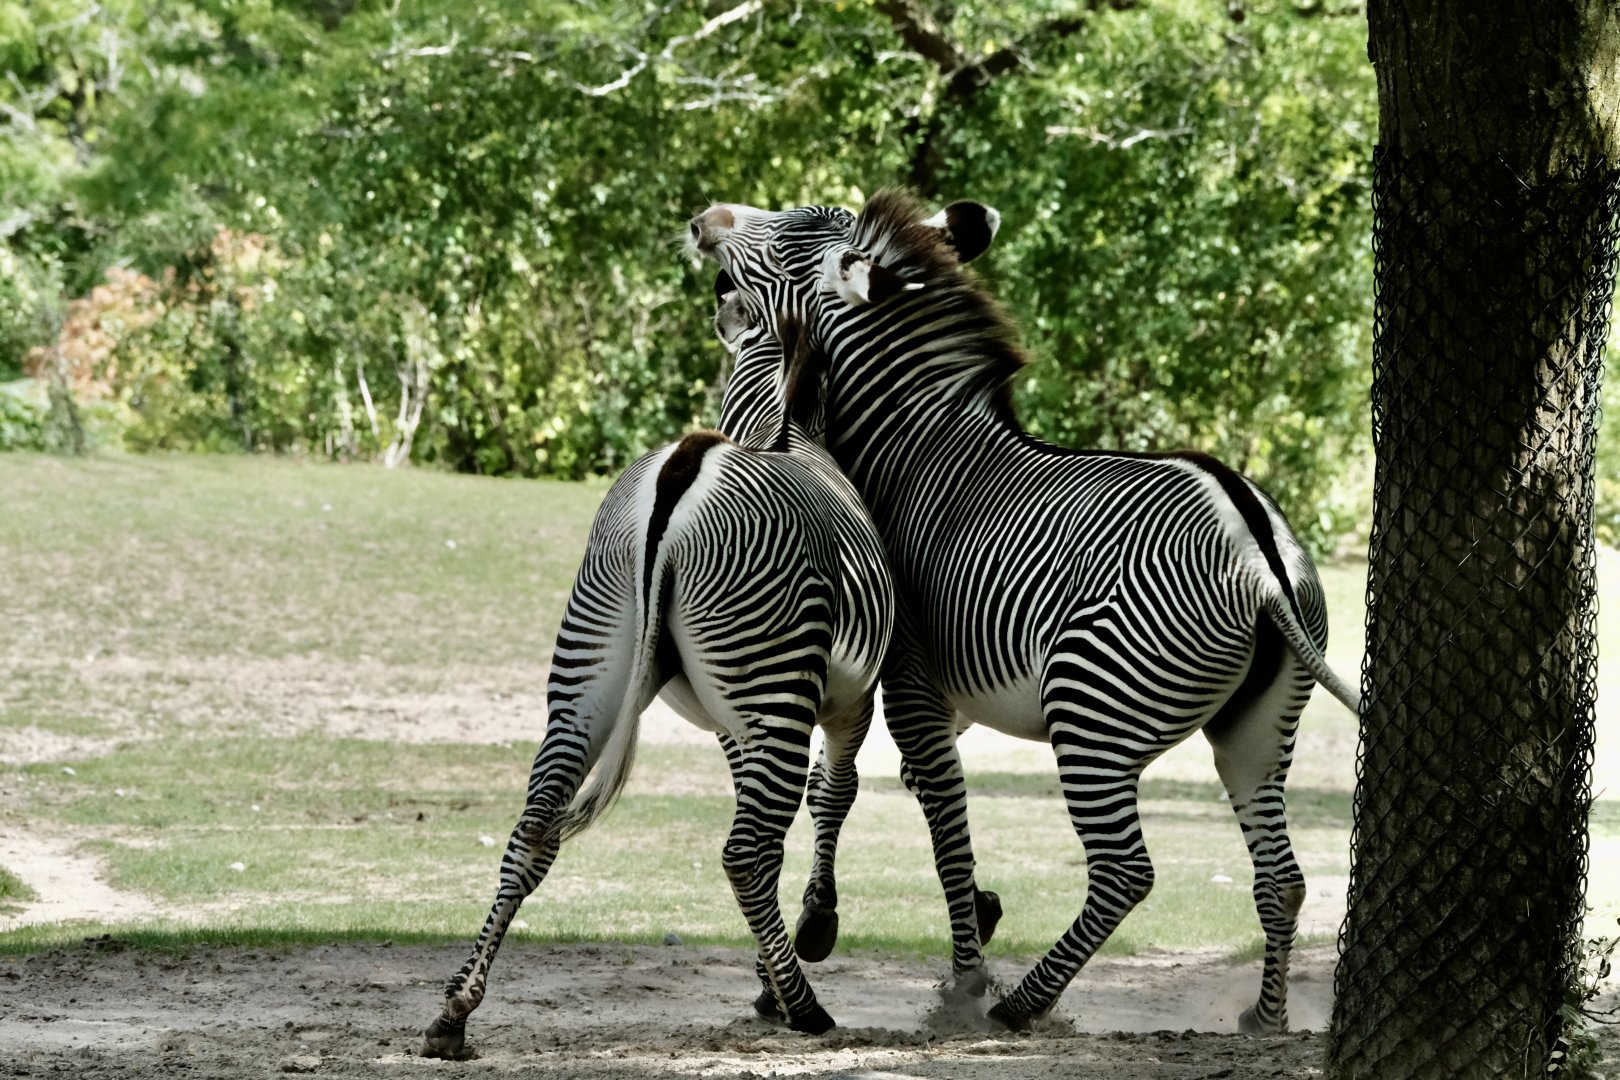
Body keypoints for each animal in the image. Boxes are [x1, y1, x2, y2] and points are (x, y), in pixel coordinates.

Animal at [420, 290, 895, 1058]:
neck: (785, 427)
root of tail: (683, 466)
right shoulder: (845, 701)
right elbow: (834, 793)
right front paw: (810, 936)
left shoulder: (736, 724)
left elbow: (792, 821)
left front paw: (769, 974)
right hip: (771, 689)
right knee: (745, 852)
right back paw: (807, 1008)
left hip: (593, 673)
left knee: (533, 827)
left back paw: (453, 1013)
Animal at [689, 190, 1362, 1034]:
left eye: (788, 239)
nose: (703, 220)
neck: (909, 449)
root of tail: (1254, 546)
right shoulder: (948, 698)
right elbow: (900, 793)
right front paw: (948, 923)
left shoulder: (910, 680)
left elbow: (941, 818)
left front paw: (964, 978)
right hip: (1258, 728)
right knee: (1282, 876)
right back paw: (1262, 1019)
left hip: (1093, 710)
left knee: (1126, 871)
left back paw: (1022, 1005)